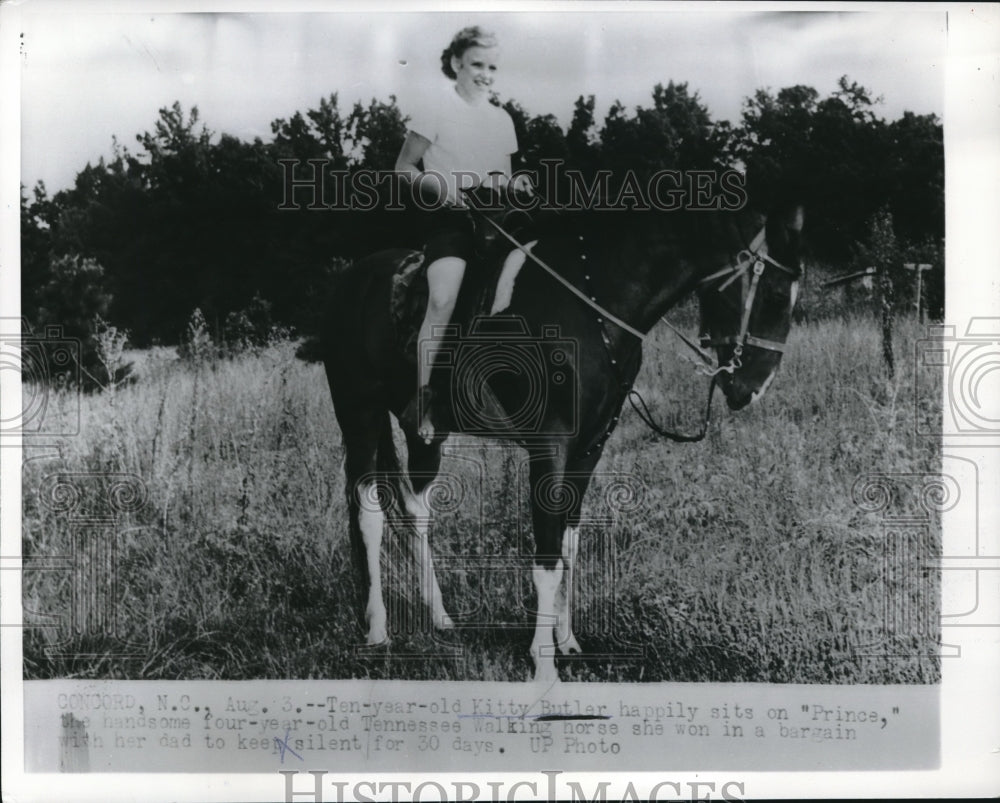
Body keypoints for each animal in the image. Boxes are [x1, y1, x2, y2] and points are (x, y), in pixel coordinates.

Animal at [320, 199, 804, 680]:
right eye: (776, 296)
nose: (753, 387)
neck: (592, 304)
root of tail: (352, 280)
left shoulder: (591, 446)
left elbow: (569, 545)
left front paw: (567, 641)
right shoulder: (549, 445)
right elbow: (547, 560)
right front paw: (543, 663)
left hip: (424, 435)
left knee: (415, 513)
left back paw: (440, 618)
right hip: (359, 414)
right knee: (369, 515)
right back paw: (377, 630)